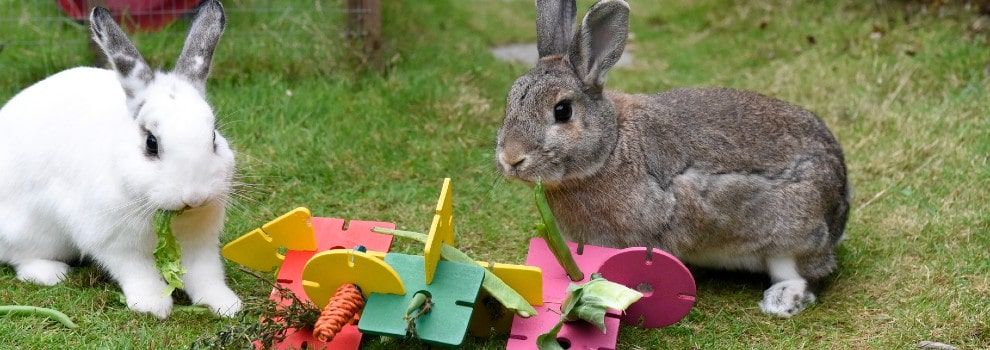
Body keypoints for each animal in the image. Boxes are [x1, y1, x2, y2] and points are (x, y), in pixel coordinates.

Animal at [0, 0, 240, 318]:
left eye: (213, 137)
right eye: (151, 143)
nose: (194, 197)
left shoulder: (199, 242)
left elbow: (205, 273)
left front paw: (226, 304)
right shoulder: (114, 242)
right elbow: (137, 272)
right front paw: (153, 305)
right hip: (26, 230)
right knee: (18, 258)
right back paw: (51, 273)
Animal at [500, 0, 848, 318]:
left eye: (562, 111)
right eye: (510, 100)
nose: (510, 158)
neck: (611, 147)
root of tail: (841, 205)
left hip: (791, 232)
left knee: (803, 275)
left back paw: (782, 301)